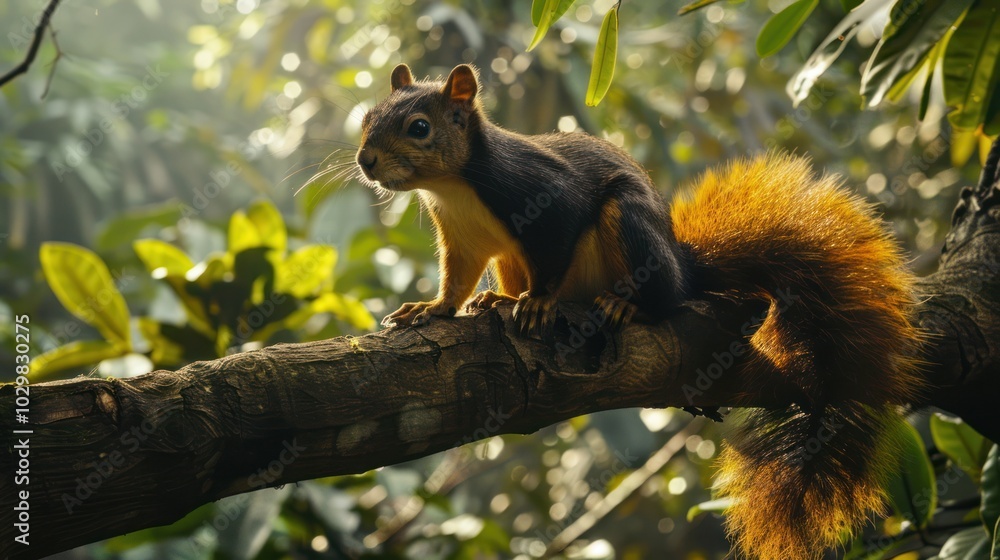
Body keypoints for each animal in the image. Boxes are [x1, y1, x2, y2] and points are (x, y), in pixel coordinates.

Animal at [355, 63, 921, 560]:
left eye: (420, 127)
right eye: (367, 117)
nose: (365, 161)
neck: (454, 186)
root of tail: (683, 266)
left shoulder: (544, 196)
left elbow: (556, 252)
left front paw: (539, 302)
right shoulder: (462, 238)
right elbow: (455, 280)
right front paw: (433, 309)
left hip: (628, 223)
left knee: (666, 299)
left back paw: (621, 305)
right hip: (515, 259)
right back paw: (501, 299)